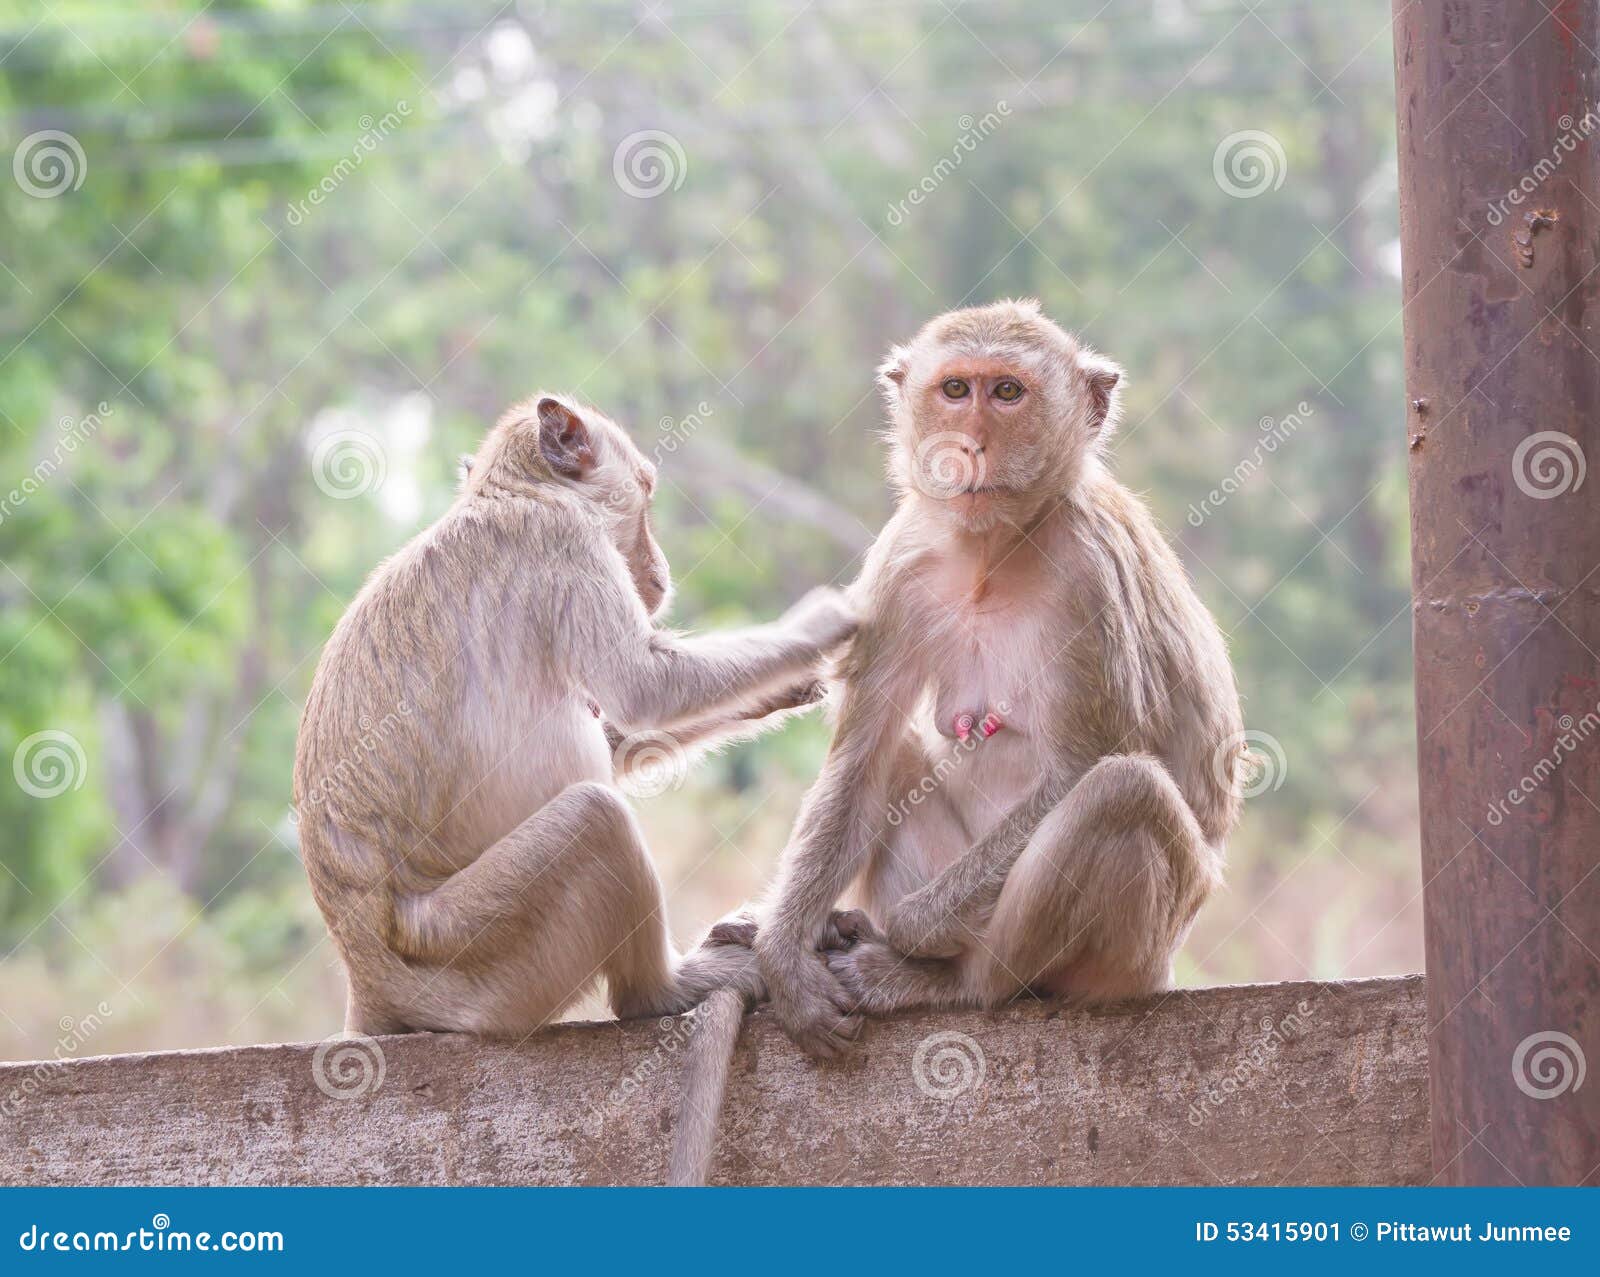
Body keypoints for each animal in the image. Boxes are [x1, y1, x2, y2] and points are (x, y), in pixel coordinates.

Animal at [292, 392, 857, 1062]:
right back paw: (664, 988)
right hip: (472, 954)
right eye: (645, 491)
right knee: (595, 816)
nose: (660, 572)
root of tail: (368, 979)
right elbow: (643, 685)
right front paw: (818, 626)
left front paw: (787, 687)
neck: (519, 490)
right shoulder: (565, 541)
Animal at [732, 300, 1241, 1062]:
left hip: (1133, 954)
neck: (993, 552)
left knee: (1122, 792)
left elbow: (1079, 767)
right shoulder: (901, 564)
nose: (967, 444)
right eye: (954, 390)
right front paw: (785, 957)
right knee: (898, 756)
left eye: (1006, 393)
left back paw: (947, 978)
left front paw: (909, 929)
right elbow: (863, 759)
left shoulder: (1089, 577)